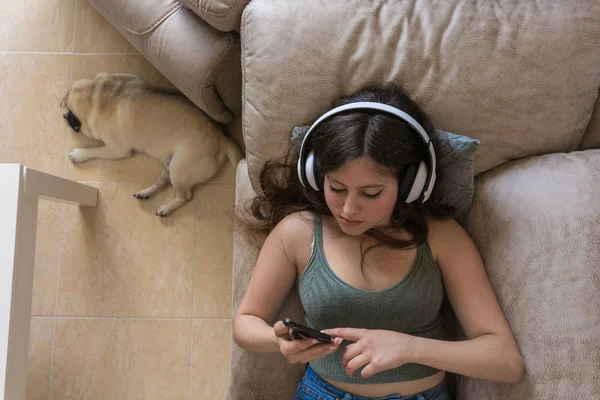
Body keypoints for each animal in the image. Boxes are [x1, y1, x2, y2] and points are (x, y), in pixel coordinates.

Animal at [59, 72, 240, 216]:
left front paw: (79, 154)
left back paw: (166, 208)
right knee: (163, 182)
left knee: (185, 196)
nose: (60, 106)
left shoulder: (116, 150)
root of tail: (222, 139)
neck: (95, 94)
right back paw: (146, 193)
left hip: (179, 169)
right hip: (171, 164)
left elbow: (95, 150)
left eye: (65, 115)